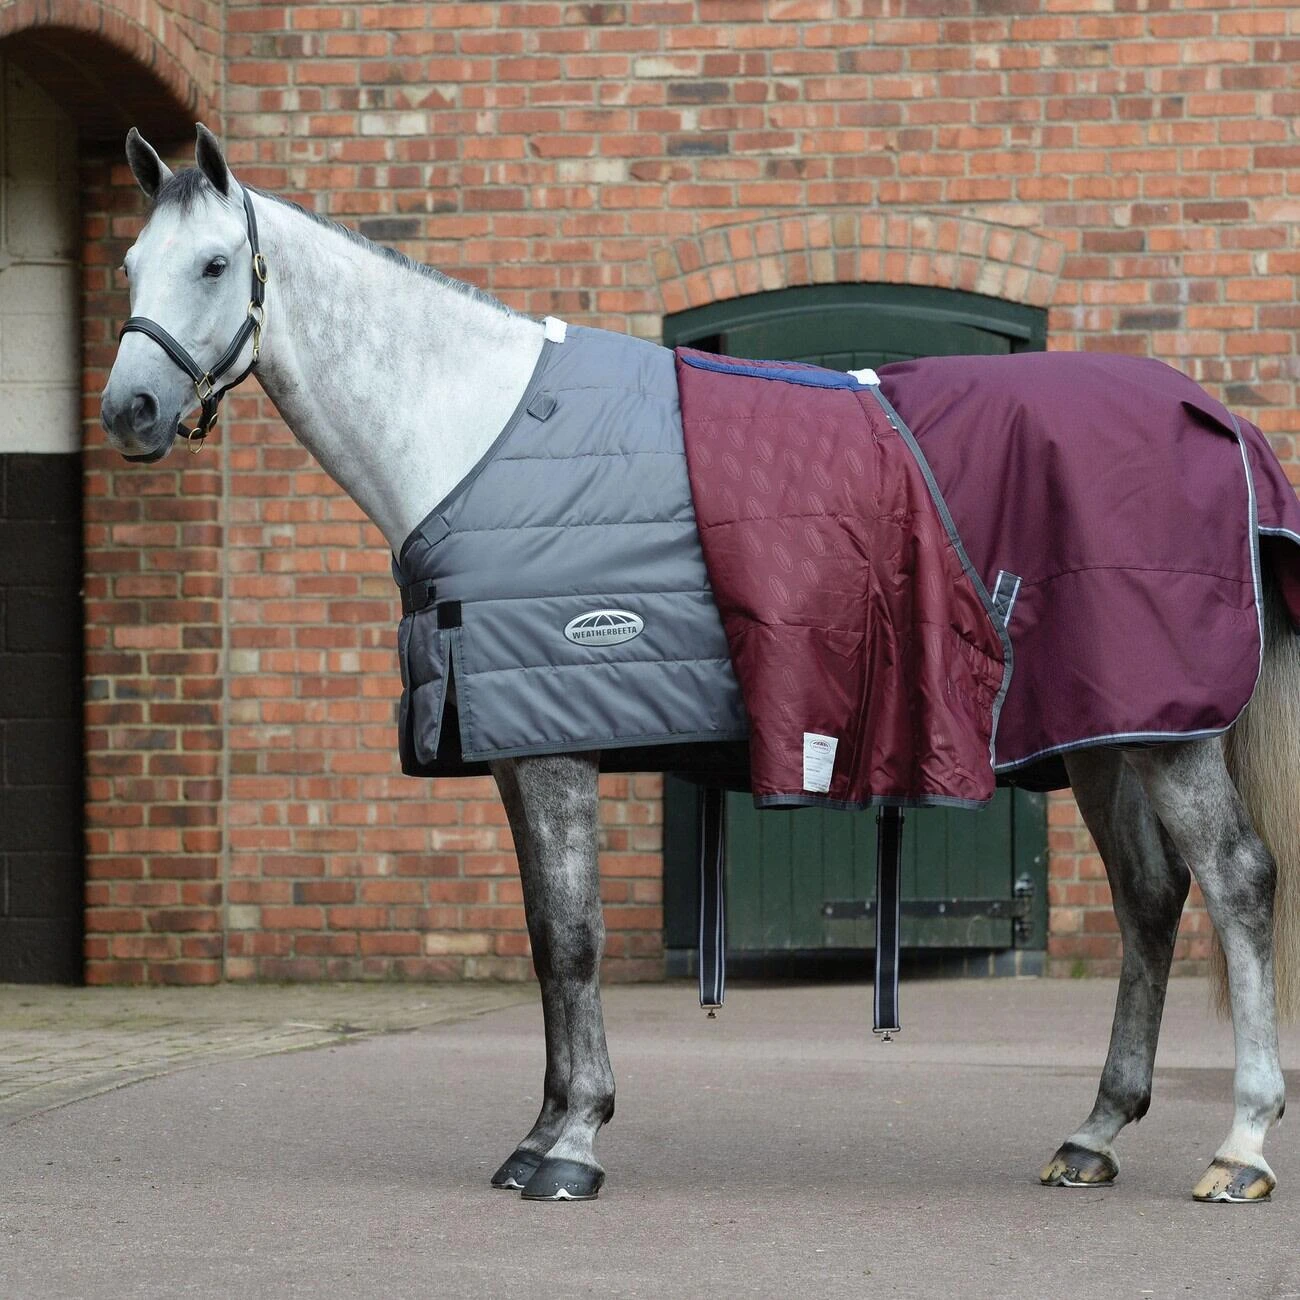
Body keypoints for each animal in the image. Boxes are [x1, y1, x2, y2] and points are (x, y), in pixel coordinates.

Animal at [100, 125, 1299, 1204]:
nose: (130, 411)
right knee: (1150, 897)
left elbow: (572, 940)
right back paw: (1094, 1132)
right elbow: (543, 939)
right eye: (129, 267)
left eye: (215, 264)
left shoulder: (558, 746)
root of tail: (1218, 419)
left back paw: (1241, 1145)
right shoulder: (511, 746)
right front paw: (539, 1135)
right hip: (1104, 733)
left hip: (1169, 734)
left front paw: (573, 1144)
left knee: (1237, 881)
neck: (479, 437)